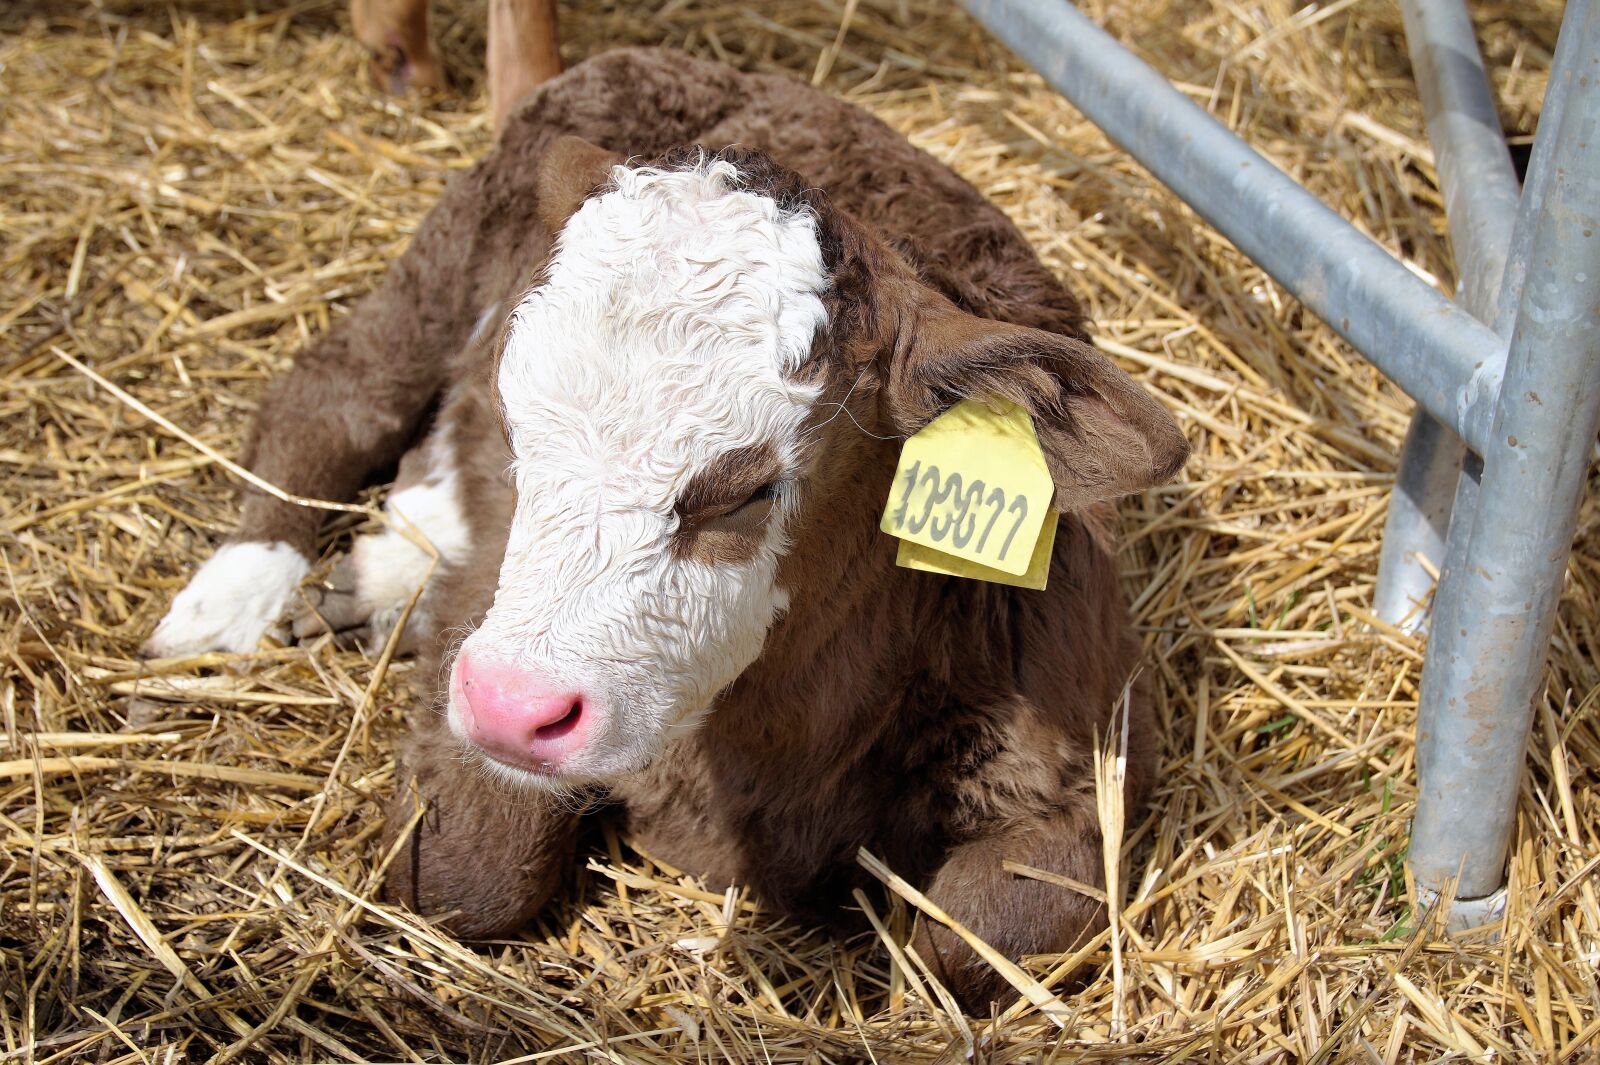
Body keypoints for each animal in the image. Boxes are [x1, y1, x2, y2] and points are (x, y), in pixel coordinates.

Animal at [144, 47, 1189, 1011]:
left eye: (752, 490)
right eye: (515, 425)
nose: (510, 704)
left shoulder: (1083, 768)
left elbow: (967, 946)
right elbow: (463, 873)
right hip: (444, 255)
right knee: (335, 396)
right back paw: (234, 599)